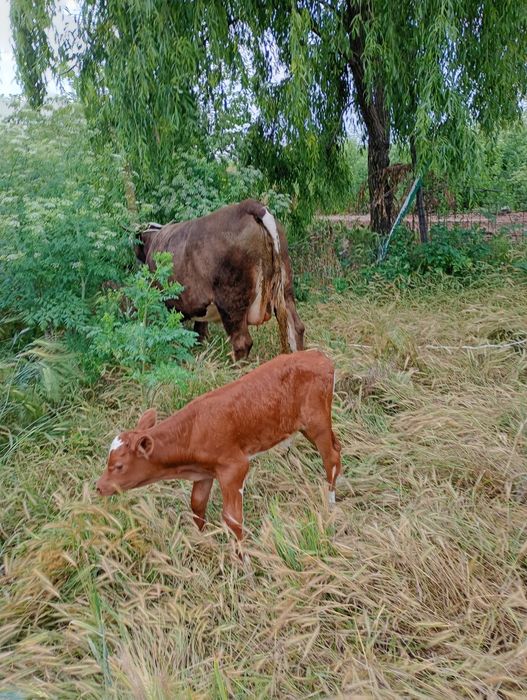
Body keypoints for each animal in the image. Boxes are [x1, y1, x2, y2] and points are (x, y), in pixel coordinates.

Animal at [95, 350, 341, 550]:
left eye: (119, 466)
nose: (98, 487)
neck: (192, 431)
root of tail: (318, 355)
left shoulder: (234, 467)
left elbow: (232, 519)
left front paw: (243, 562)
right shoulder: (204, 474)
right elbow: (197, 505)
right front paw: (202, 542)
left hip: (316, 422)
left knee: (330, 458)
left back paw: (330, 506)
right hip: (305, 426)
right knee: (337, 447)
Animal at [136, 200, 305, 361]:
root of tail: (248, 205)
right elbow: (200, 329)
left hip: (231, 303)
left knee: (242, 342)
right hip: (286, 289)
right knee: (297, 327)